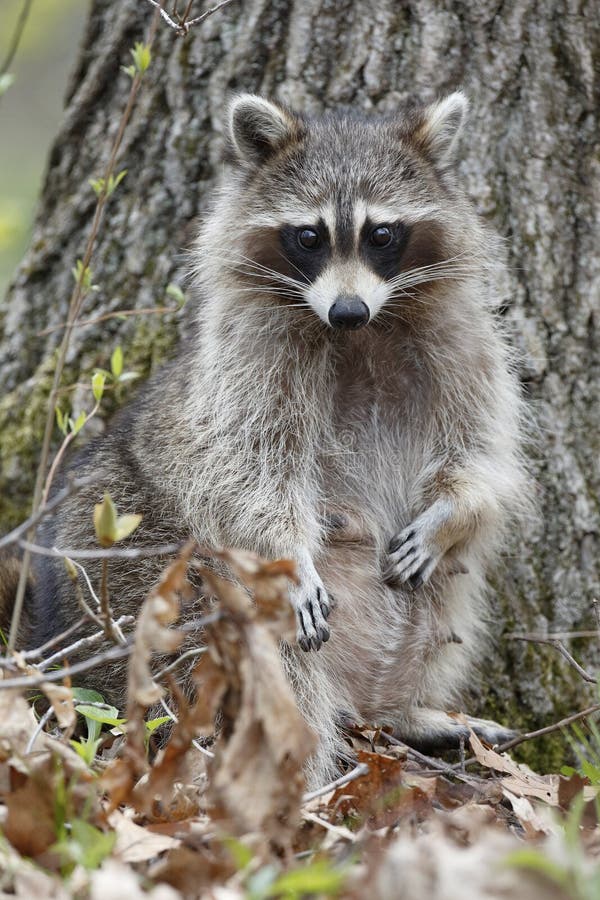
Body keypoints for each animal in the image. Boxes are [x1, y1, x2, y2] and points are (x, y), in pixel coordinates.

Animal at [25, 89, 528, 780]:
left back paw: (405, 711)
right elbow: (251, 471)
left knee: (452, 590)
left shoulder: (465, 344)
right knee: (252, 644)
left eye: (381, 234)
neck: (362, 334)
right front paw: (290, 550)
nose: (347, 309)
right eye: (309, 236)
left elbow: (483, 451)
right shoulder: (249, 360)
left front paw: (452, 513)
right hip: (137, 557)